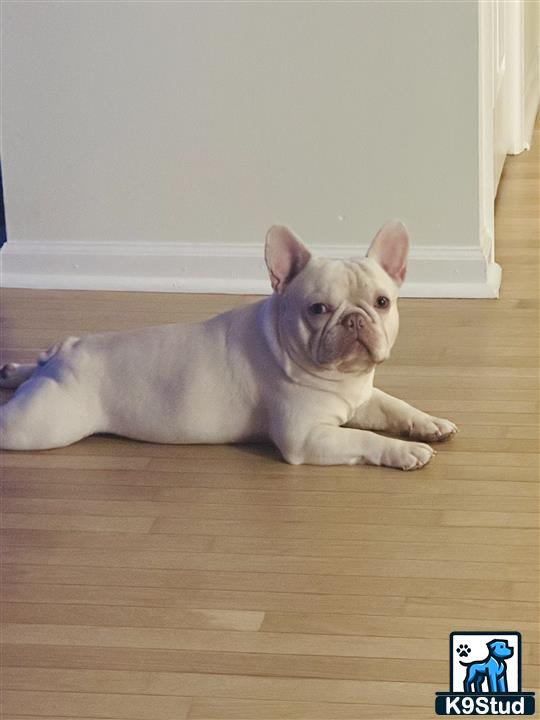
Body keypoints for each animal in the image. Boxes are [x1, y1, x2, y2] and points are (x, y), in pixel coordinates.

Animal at [0, 219, 456, 466]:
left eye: (382, 302)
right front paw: (405, 452)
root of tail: (67, 353)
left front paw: (428, 424)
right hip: (43, 425)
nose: (355, 319)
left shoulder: (362, 397)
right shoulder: (306, 436)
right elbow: (366, 439)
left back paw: (13, 369)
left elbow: (395, 405)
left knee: (30, 370)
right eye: (318, 308)